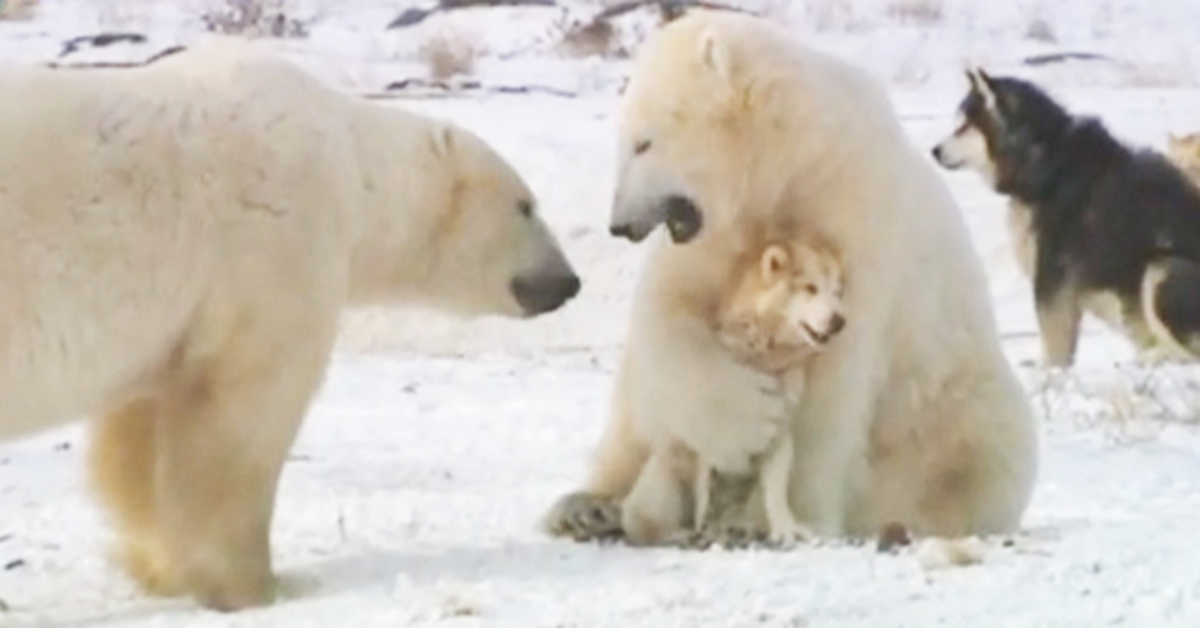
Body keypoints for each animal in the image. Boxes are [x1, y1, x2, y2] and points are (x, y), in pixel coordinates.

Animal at [0, 41, 580, 612]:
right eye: (526, 206)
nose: (569, 280)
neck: (350, 164)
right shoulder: (278, 239)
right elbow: (243, 415)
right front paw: (256, 583)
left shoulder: (171, 321)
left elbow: (141, 426)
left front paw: (160, 566)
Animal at [547, 9, 1041, 545]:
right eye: (626, 141)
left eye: (643, 143)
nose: (619, 223)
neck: (788, 159)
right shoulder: (720, 234)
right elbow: (669, 313)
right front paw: (749, 423)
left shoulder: (851, 216)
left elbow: (832, 384)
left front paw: (773, 516)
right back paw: (586, 506)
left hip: (956, 398)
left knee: (986, 444)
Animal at [936, 67, 1200, 369]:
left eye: (964, 126)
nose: (934, 150)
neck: (1045, 161)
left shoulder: (1053, 274)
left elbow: (1053, 341)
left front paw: (1048, 374)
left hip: (1161, 269)